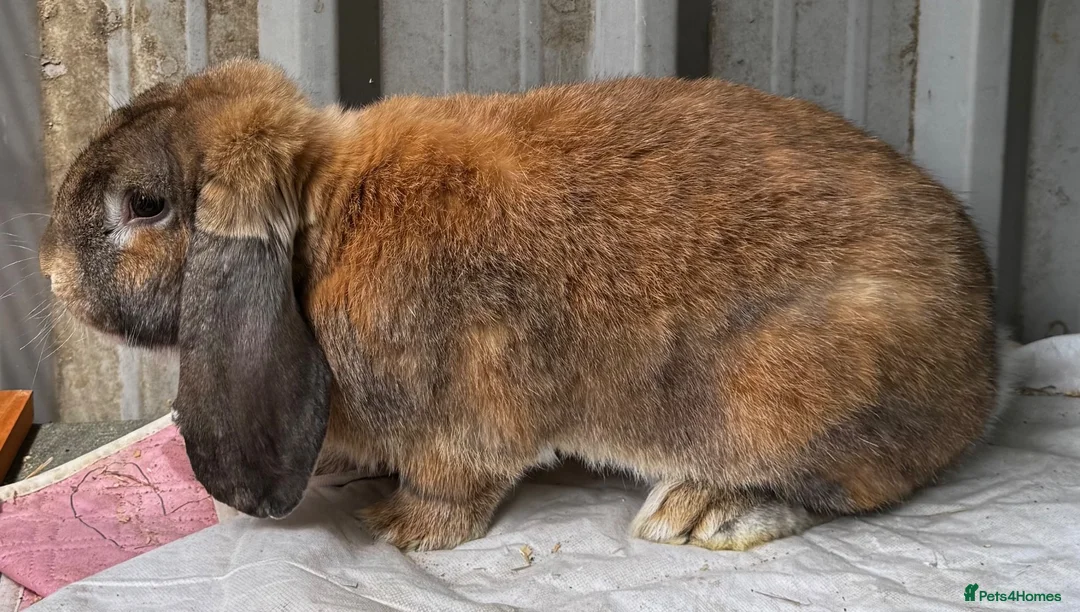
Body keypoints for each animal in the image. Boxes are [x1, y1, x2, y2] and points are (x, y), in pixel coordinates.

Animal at [39, 59, 1014, 552]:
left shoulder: (460, 421)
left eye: (145, 205)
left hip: (797, 389)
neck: (323, 225)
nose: (48, 274)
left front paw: (399, 530)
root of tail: (984, 361)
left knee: (847, 486)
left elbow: (455, 486)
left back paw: (708, 509)